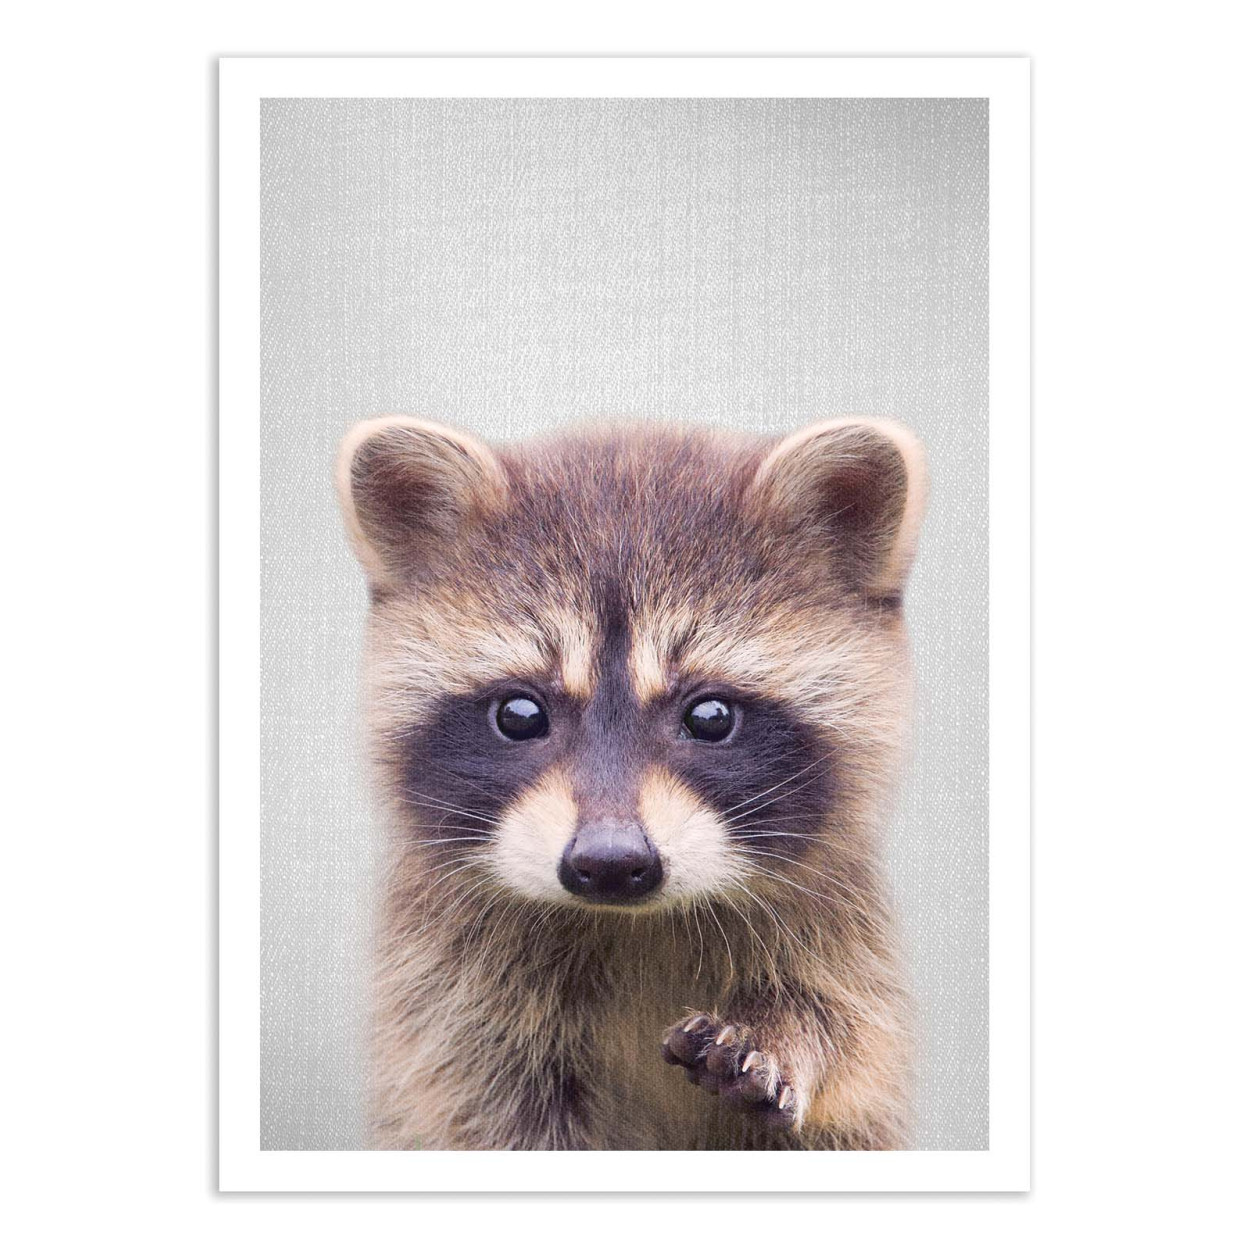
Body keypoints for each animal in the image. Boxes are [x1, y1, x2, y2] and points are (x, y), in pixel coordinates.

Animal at [335, 414, 926, 1150]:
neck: (632, 923)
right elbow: (478, 1107)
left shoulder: (842, 932)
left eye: (710, 716)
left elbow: (849, 1032)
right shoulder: (447, 996)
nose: (611, 862)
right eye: (519, 714)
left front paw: (789, 1036)